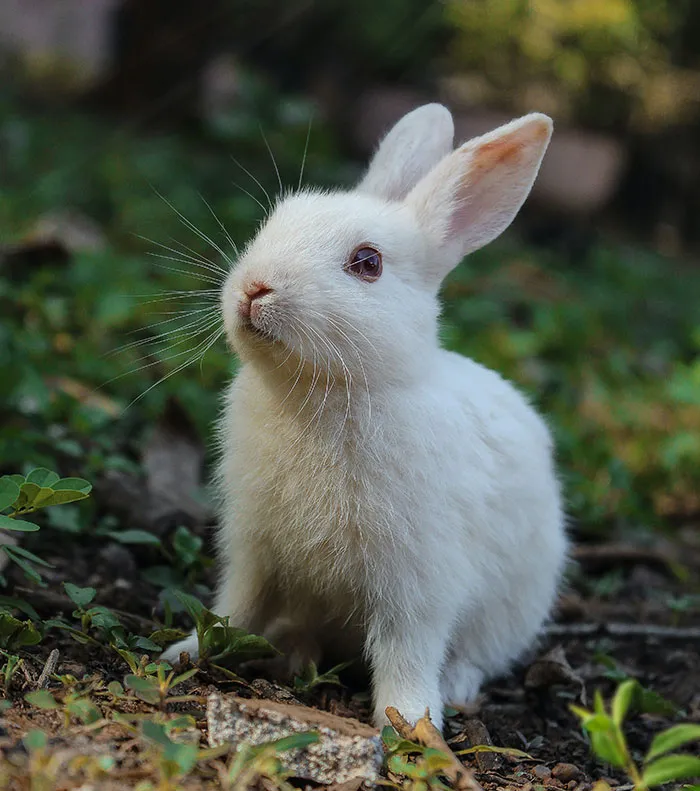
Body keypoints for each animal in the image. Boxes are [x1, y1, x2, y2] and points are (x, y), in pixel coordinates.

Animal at [162, 104, 568, 731]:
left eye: (368, 263)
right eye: (275, 221)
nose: (254, 288)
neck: (322, 393)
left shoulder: (418, 582)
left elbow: (407, 651)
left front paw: (410, 722)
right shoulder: (254, 549)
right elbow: (236, 607)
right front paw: (186, 652)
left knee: (476, 654)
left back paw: (454, 688)